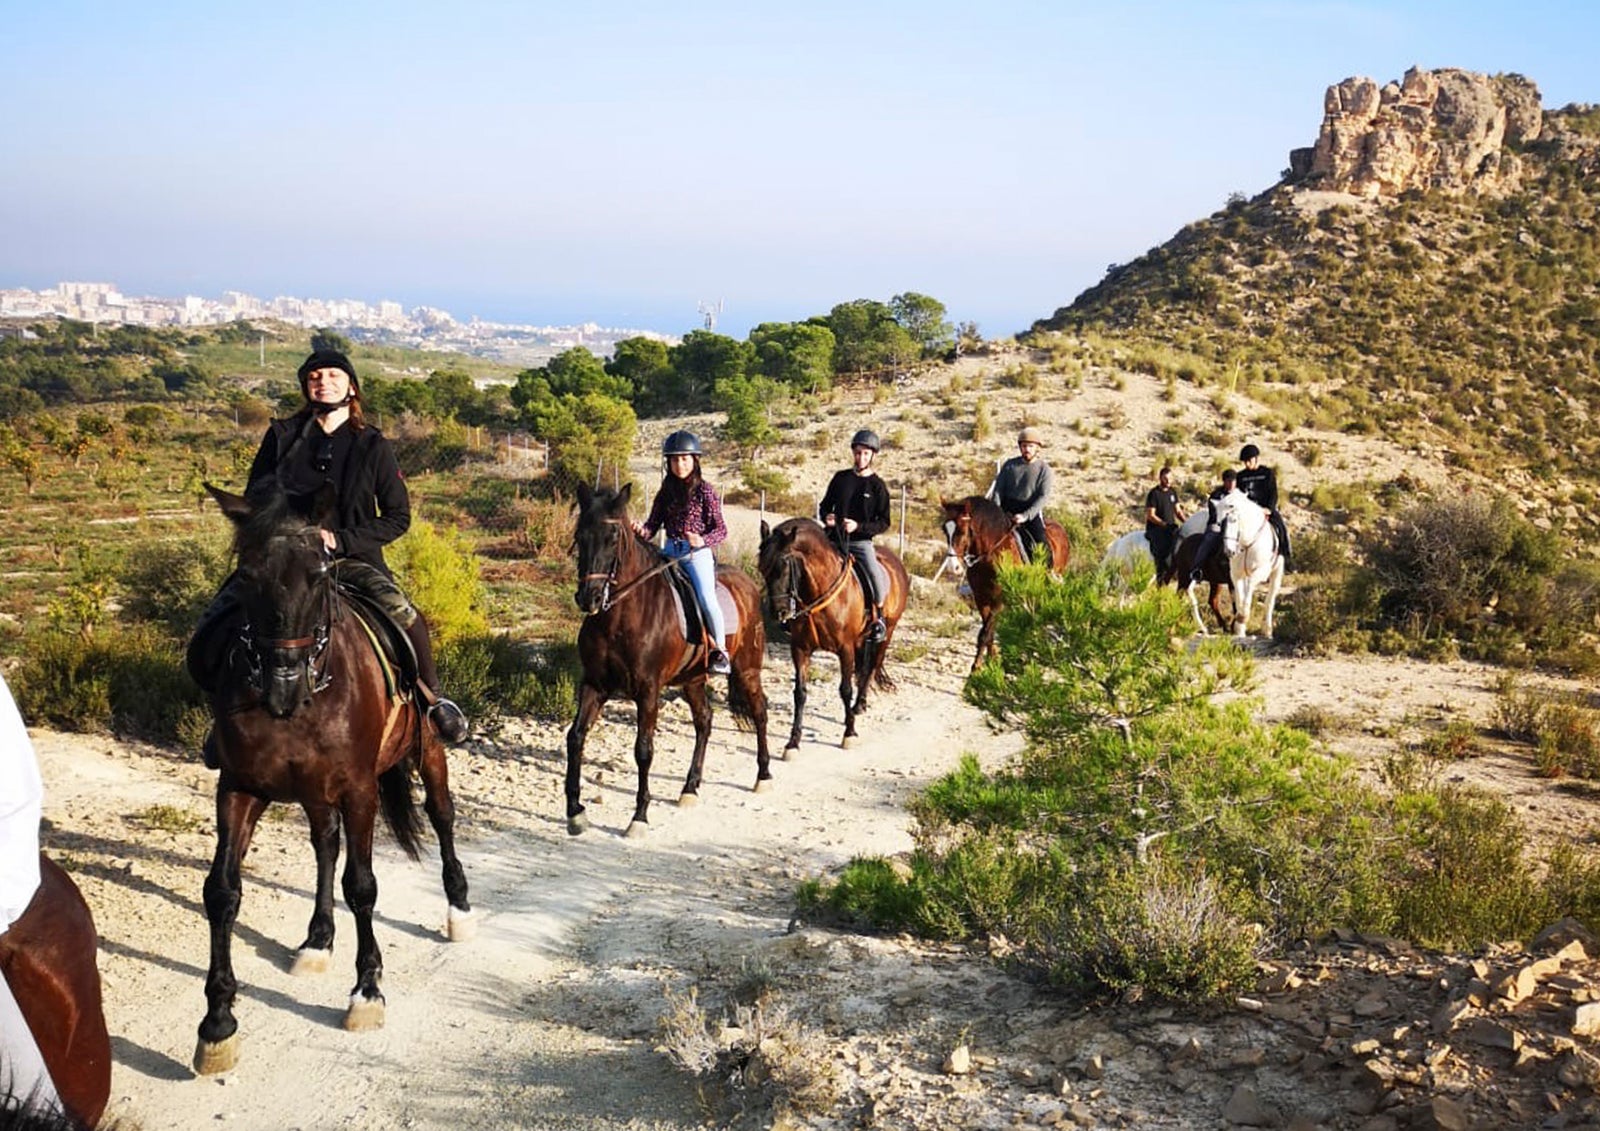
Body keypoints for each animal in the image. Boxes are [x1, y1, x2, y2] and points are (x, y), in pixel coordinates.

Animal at [192, 483, 473, 1076]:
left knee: (441, 817)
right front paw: (218, 1023)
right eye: (245, 574)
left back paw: (459, 909)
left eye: (320, 572)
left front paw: (367, 992)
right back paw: (317, 939)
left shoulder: (358, 789)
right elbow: (223, 892)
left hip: (429, 749)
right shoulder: (238, 788)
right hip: (313, 793)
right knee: (325, 842)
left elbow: (361, 885)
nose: (282, 685)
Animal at [566, 483, 772, 838]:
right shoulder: (594, 684)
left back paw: (763, 776)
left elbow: (644, 750)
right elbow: (576, 737)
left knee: (759, 712)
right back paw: (690, 787)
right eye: (580, 535)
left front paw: (639, 816)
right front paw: (575, 811)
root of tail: (747, 584)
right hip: (693, 680)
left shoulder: (648, 690)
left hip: (747, 670)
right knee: (705, 720)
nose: (588, 597)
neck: (619, 616)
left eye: (613, 537)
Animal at [757, 518, 909, 751]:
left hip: (887, 632)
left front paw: (849, 733)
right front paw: (793, 742)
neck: (818, 594)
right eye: (762, 568)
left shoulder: (845, 648)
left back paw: (859, 705)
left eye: (784, 566)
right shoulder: (800, 649)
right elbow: (800, 693)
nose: (778, 613)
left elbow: (845, 689)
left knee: (872, 666)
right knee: (864, 669)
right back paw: (857, 707)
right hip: (861, 640)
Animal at [939, 495, 1071, 672]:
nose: (952, 567)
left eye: (961, 530)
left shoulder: (999, 600)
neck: (990, 554)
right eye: (945, 530)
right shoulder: (981, 598)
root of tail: (1060, 528)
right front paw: (992, 659)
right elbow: (988, 631)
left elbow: (985, 633)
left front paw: (976, 666)